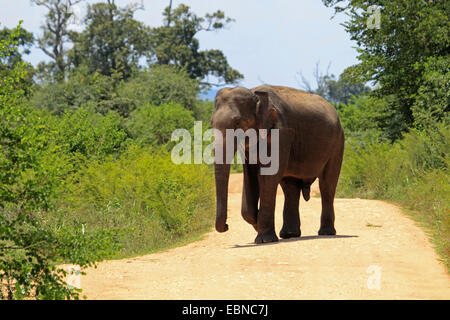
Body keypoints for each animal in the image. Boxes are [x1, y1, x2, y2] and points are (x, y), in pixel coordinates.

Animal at [211, 84, 344, 244]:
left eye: (237, 122)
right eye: (211, 123)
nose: (226, 226)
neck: (257, 96)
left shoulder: (281, 132)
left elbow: (269, 176)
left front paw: (264, 239)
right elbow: (250, 176)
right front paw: (257, 224)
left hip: (337, 143)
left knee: (326, 185)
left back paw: (326, 232)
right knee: (290, 188)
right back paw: (289, 234)